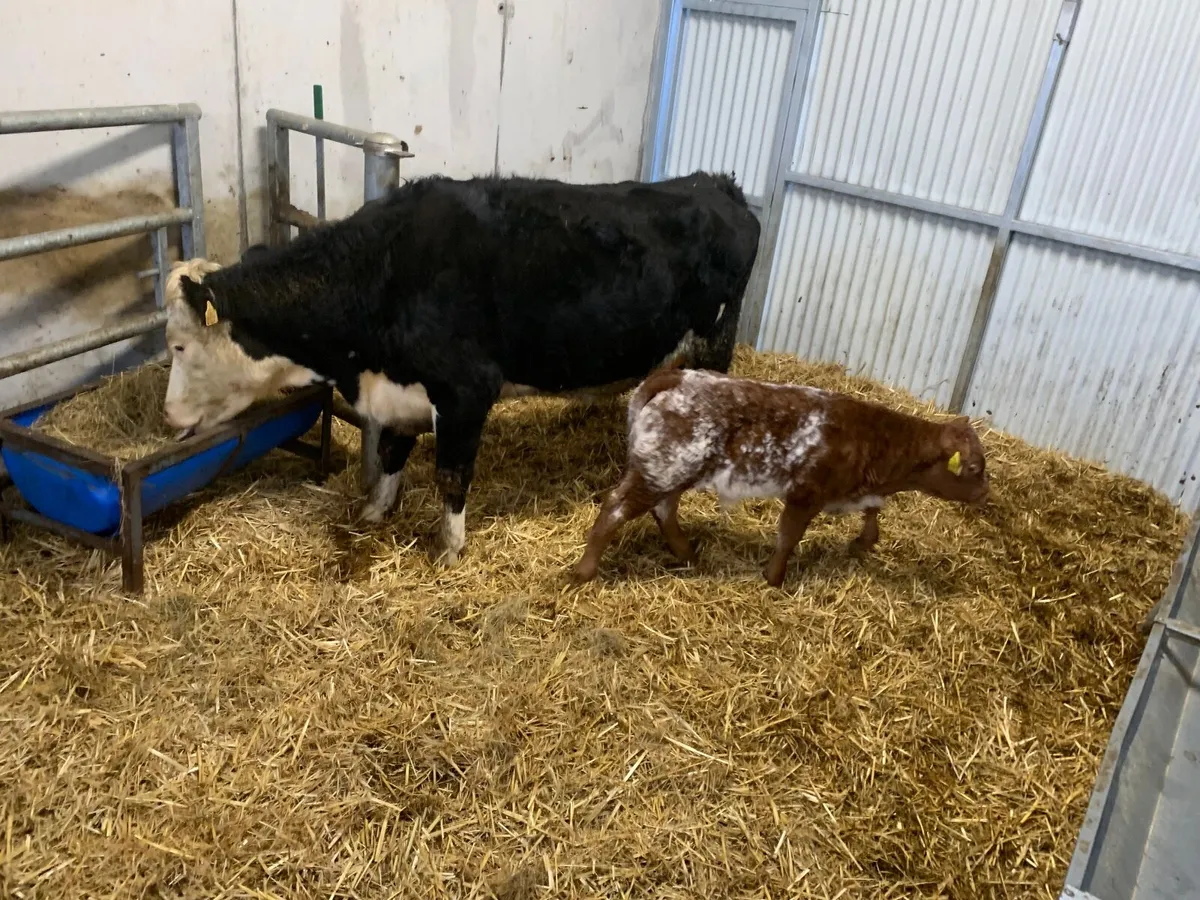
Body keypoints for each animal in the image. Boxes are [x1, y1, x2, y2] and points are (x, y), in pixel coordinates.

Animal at [161, 171, 761, 564]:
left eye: (178, 347)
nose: (167, 415)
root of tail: (713, 183)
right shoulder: (399, 392)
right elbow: (391, 453)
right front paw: (374, 512)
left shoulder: (466, 390)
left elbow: (451, 472)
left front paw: (449, 548)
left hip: (715, 338)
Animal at [573, 368, 990, 587]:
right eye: (973, 468)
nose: (985, 492)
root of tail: (676, 375)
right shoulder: (807, 492)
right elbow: (789, 537)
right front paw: (773, 578)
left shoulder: (855, 489)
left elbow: (874, 510)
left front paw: (865, 541)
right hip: (661, 470)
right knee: (615, 508)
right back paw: (584, 571)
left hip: (674, 470)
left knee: (664, 511)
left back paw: (688, 554)